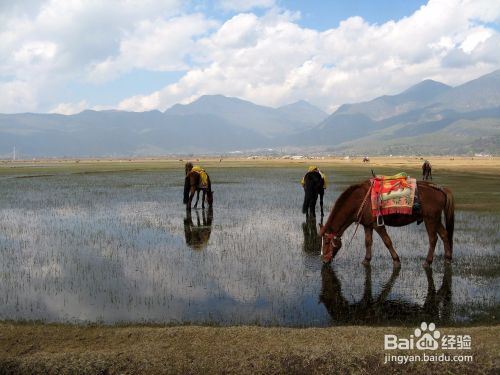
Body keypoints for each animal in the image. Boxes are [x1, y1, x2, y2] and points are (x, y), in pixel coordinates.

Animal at [320, 181, 454, 268]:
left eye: (326, 242)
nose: (324, 261)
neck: (360, 201)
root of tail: (440, 189)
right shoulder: (368, 225)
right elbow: (368, 242)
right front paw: (366, 260)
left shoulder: (377, 225)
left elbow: (387, 241)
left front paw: (396, 260)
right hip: (436, 220)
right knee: (444, 235)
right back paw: (447, 259)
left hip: (430, 219)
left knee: (433, 239)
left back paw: (428, 262)